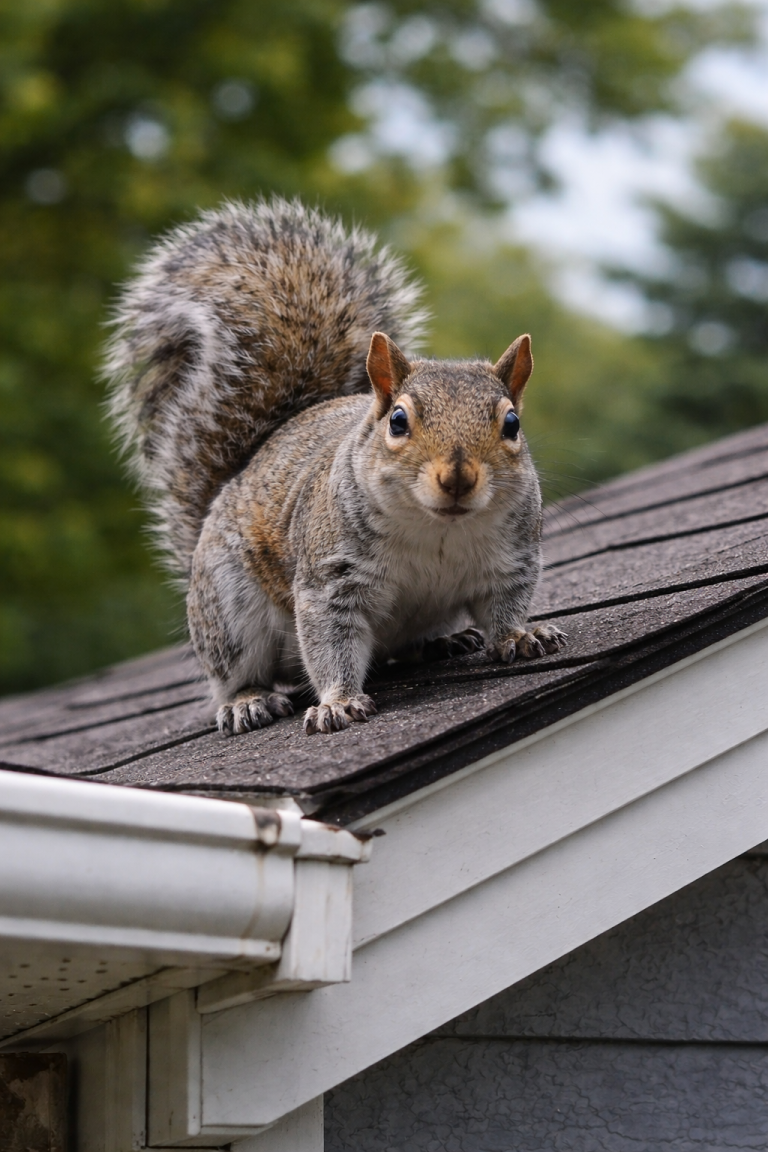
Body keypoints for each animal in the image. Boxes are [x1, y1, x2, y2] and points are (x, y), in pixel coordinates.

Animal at [106, 198, 566, 736]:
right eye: (398, 420)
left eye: (512, 424)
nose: (457, 477)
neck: (438, 530)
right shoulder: (331, 580)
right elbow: (331, 644)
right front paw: (338, 702)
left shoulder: (511, 558)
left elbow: (504, 606)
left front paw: (520, 636)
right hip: (228, 609)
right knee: (235, 671)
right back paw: (246, 700)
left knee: (400, 650)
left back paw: (440, 643)